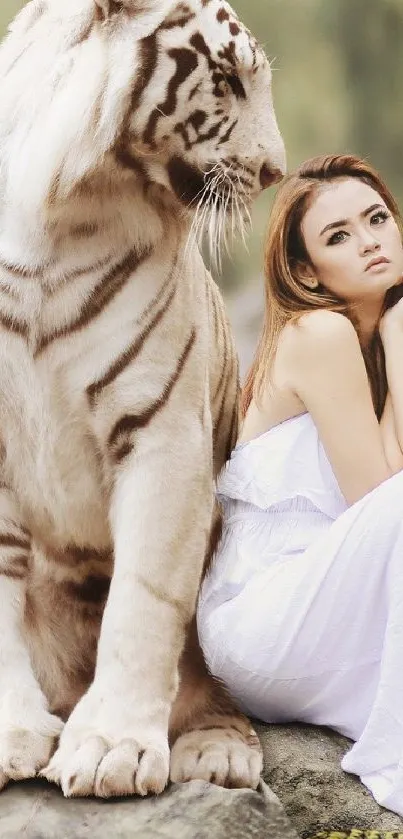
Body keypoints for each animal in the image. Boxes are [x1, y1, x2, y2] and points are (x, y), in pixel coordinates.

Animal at [0, 0, 286, 800]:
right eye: (228, 80)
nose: (276, 171)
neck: (57, 216)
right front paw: (14, 735)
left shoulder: (163, 432)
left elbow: (145, 597)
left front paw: (111, 751)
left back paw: (216, 753)